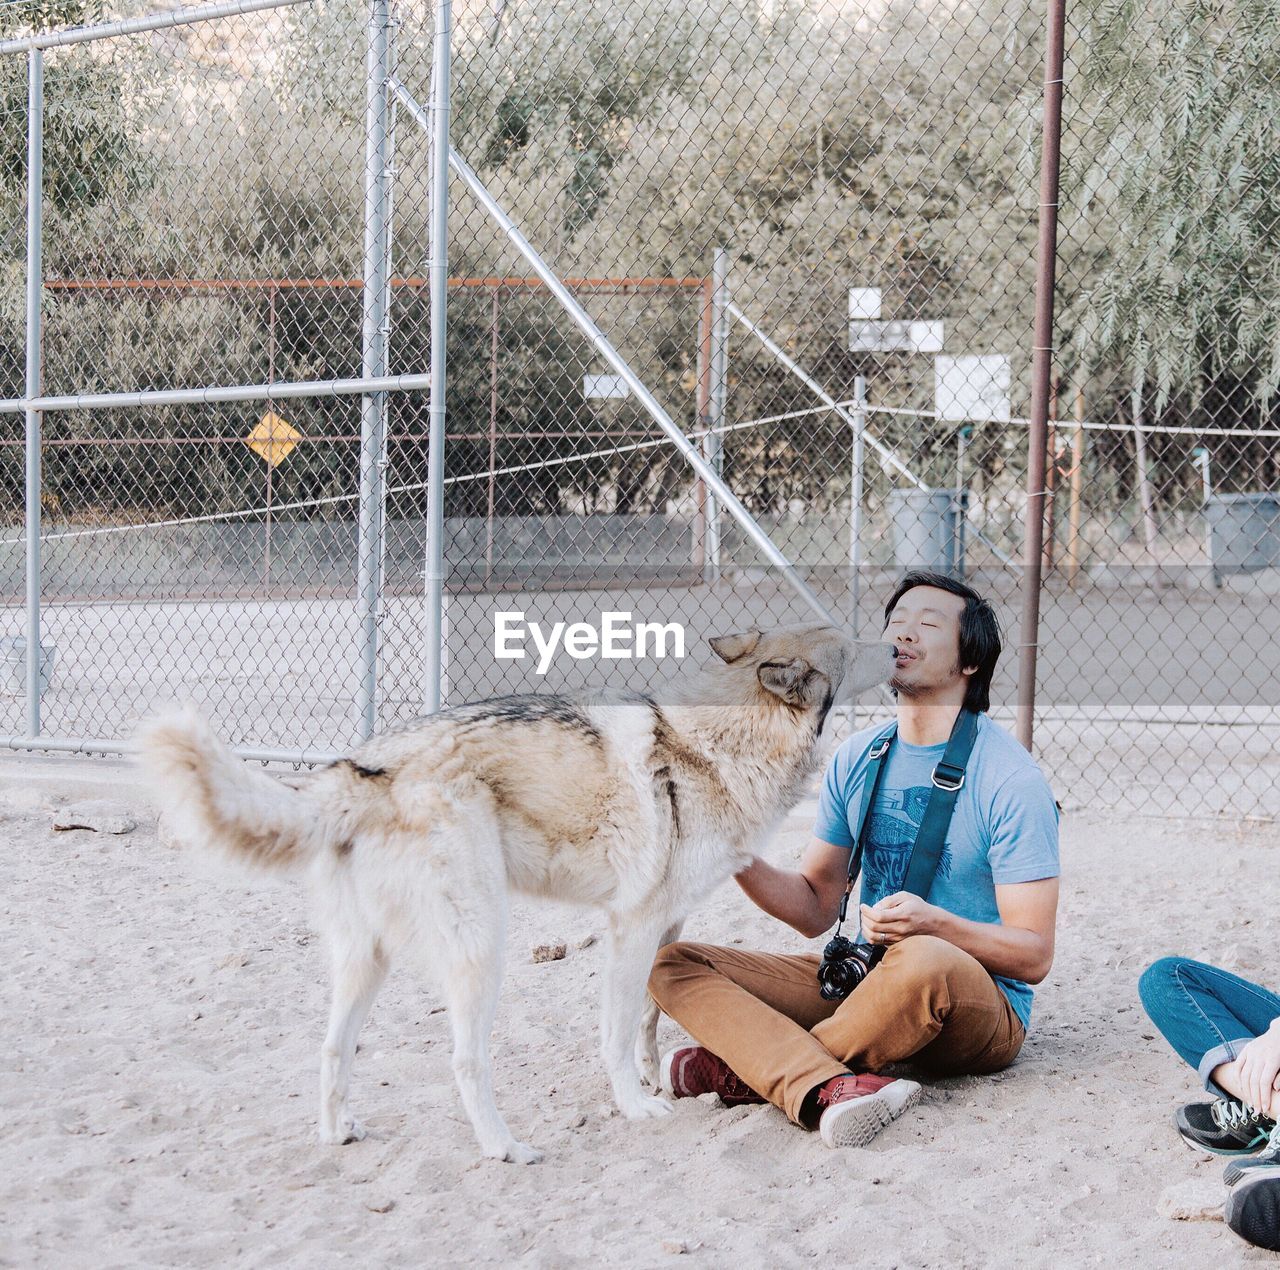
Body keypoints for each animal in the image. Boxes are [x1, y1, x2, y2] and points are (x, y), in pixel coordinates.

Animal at [140, 622, 890, 1162]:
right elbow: (618, 1030)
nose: (892, 640)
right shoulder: (632, 927)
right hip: (480, 951)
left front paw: (653, 1079)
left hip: (368, 962)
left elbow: (649, 1021)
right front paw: (635, 1104)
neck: (720, 741)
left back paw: (337, 1133)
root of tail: (359, 766)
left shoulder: (668, 925)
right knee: (465, 1060)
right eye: (853, 645)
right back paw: (504, 1148)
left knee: (332, 1049)